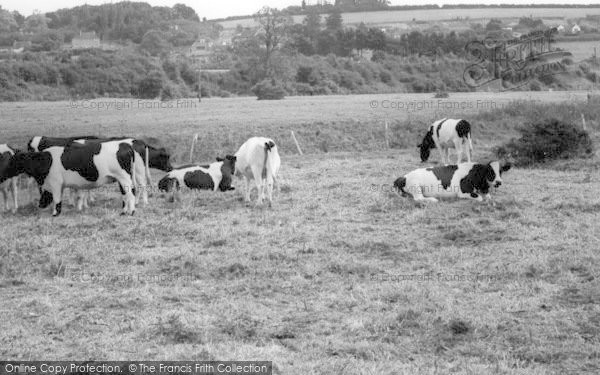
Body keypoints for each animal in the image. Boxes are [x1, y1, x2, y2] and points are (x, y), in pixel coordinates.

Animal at [4, 140, 137, 217]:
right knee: (125, 194)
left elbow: (57, 199)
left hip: (124, 178)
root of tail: (126, 145)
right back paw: (123, 211)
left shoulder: (56, 184)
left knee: (130, 194)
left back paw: (131, 212)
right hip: (121, 180)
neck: (46, 161)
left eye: (13, 160)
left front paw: (55, 214)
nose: (4, 171)